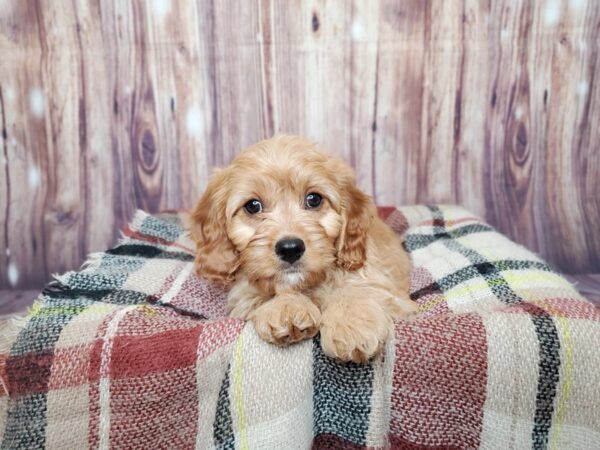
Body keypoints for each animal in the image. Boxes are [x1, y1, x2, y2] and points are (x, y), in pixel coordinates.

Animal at [192, 135, 418, 364]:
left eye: (314, 199)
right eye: (253, 206)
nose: (290, 249)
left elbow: (358, 289)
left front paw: (352, 325)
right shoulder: (242, 294)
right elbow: (257, 294)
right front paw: (286, 307)